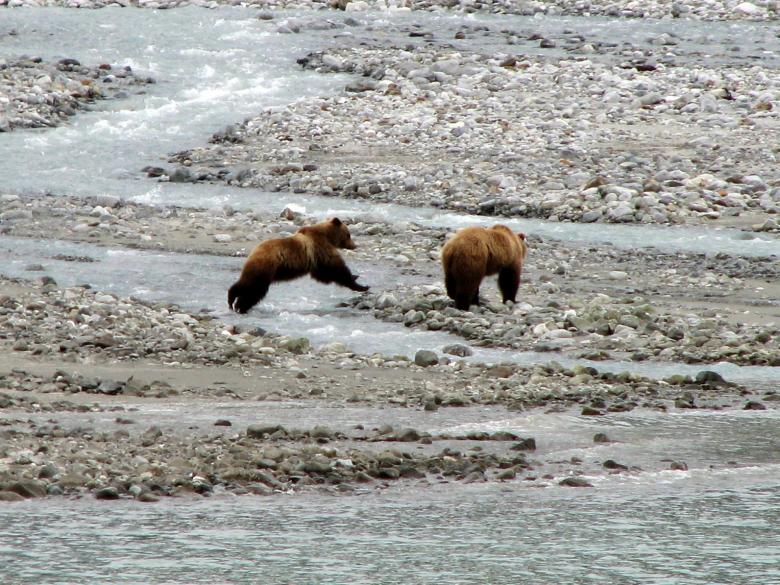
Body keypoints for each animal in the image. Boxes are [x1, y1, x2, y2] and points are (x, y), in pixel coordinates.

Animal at [228, 217, 369, 314]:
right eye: (348, 234)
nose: (355, 245)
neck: (328, 237)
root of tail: (253, 251)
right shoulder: (321, 249)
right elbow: (336, 270)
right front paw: (361, 285)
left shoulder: (316, 260)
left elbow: (322, 275)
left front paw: (357, 279)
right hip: (266, 267)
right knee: (254, 289)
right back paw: (238, 304)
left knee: (248, 284)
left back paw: (235, 303)